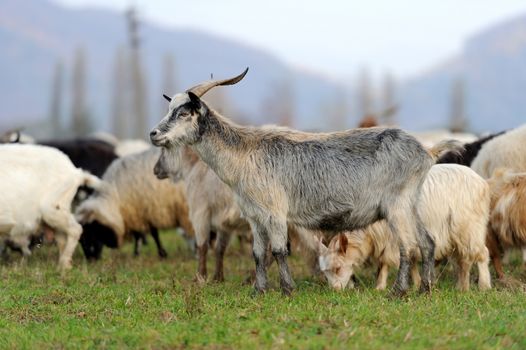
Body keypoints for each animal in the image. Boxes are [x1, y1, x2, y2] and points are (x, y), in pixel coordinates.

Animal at [152, 67, 458, 296]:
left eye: (184, 113)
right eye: (169, 109)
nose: (154, 133)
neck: (244, 153)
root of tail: (427, 151)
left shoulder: (275, 212)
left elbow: (278, 251)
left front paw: (287, 290)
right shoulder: (253, 216)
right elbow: (257, 253)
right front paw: (258, 291)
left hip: (396, 206)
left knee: (408, 246)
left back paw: (398, 291)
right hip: (411, 204)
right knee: (428, 242)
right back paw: (426, 289)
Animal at [318, 164, 496, 292]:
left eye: (337, 268)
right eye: (325, 272)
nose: (335, 291)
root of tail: (483, 182)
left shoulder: (392, 239)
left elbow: (386, 263)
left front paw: (381, 287)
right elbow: (411, 261)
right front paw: (416, 284)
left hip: (469, 227)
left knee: (480, 254)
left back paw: (483, 286)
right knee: (463, 260)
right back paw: (462, 287)